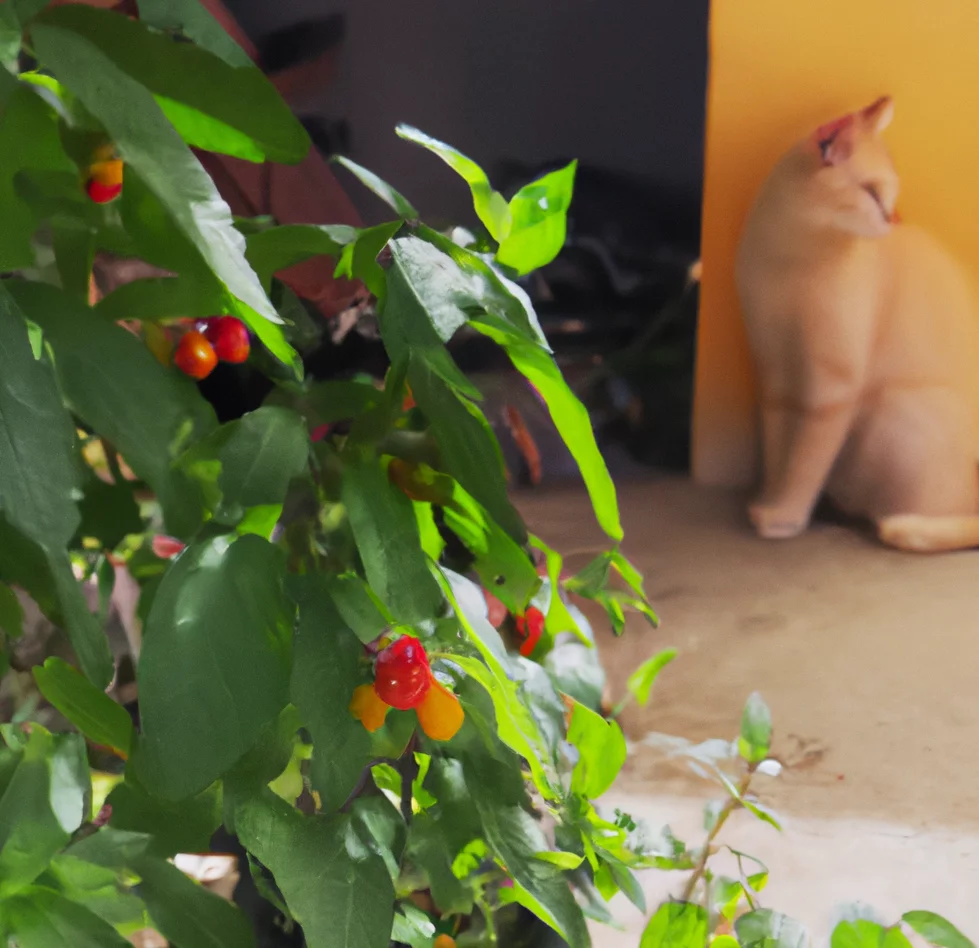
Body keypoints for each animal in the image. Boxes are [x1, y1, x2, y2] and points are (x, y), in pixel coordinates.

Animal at [740, 92, 979, 552]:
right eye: (871, 191)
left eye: (890, 193)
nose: (893, 218)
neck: (789, 257)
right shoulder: (776, 372)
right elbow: (780, 447)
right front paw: (769, 499)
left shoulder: (833, 386)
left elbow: (807, 459)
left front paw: (787, 514)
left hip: (896, 409)